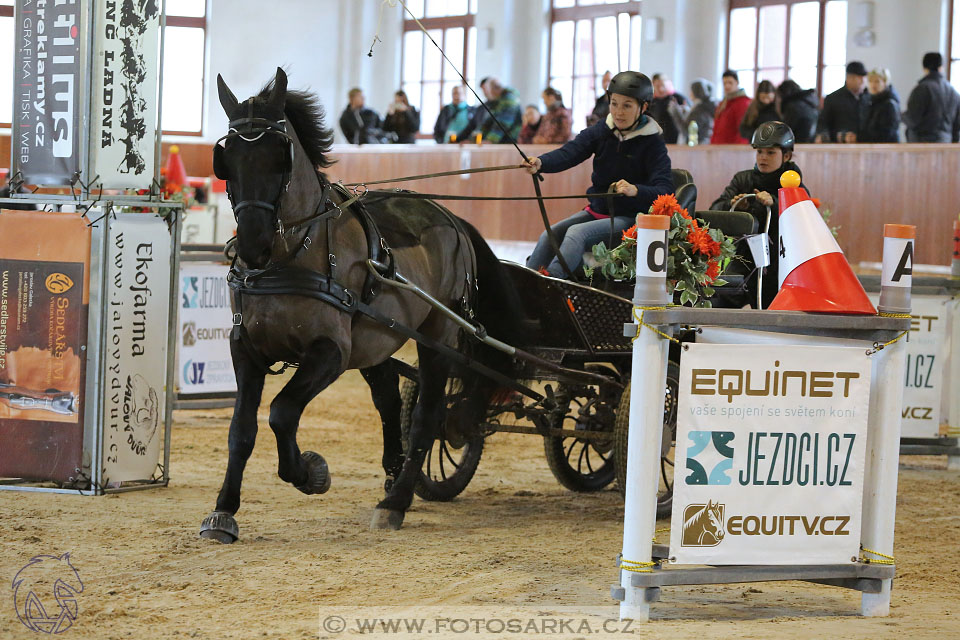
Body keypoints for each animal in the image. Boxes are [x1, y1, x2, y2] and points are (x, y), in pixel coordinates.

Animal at [201, 69, 524, 540]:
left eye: (280, 157)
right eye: (227, 160)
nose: (252, 246)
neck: (292, 255)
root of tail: (452, 218)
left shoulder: (332, 352)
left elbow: (281, 413)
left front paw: (310, 472)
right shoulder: (245, 347)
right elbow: (241, 428)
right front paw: (224, 510)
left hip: (437, 336)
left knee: (427, 415)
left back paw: (397, 499)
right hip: (379, 336)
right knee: (388, 398)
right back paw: (394, 473)